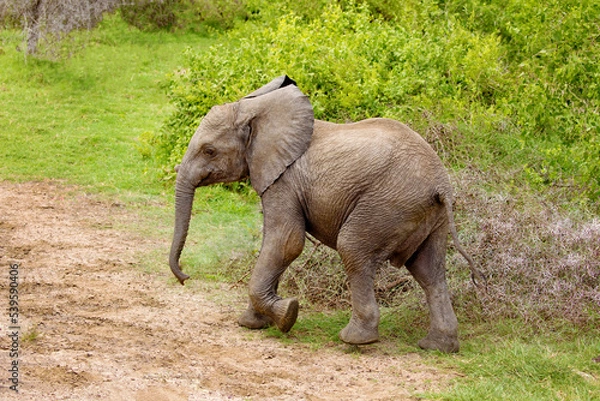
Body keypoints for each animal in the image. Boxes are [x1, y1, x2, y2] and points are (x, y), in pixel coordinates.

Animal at [170, 76, 482, 352]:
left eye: (209, 151)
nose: (185, 277)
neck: (256, 111)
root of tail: (442, 185)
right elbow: (274, 244)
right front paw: (253, 322)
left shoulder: (284, 180)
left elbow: (286, 242)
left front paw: (288, 314)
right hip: (429, 217)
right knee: (428, 271)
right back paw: (438, 346)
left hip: (389, 203)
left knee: (354, 249)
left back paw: (355, 340)